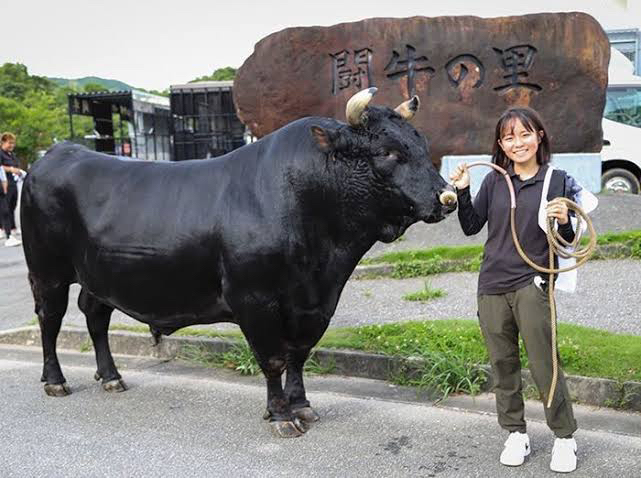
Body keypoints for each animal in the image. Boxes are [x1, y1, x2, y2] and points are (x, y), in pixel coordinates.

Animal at [20, 89, 456, 436]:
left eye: (422, 145)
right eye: (387, 152)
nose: (448, 198)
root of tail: (57, 153)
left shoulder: (313, 304)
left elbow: (298, 354)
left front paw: (301, 406)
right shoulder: (255, 299)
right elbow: (274, 358)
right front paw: (281, 416)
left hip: (98, 276)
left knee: (95, 316)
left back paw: (111, 377)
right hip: (47, 273)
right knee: (50, 319)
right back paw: (55, 381)